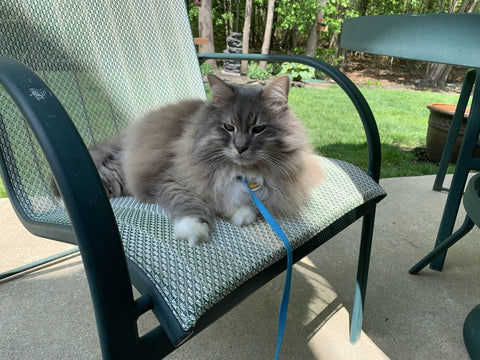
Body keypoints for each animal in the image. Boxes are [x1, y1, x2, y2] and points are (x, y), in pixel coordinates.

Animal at [63, 75, 322, 245]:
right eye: (229, 127)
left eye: (258, 129)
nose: (240, 147)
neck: (239, 171)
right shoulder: (170, 179)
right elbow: (189, 204)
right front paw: (193, 230)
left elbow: (245, 203)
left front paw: (242, 215)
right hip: (121, 176)